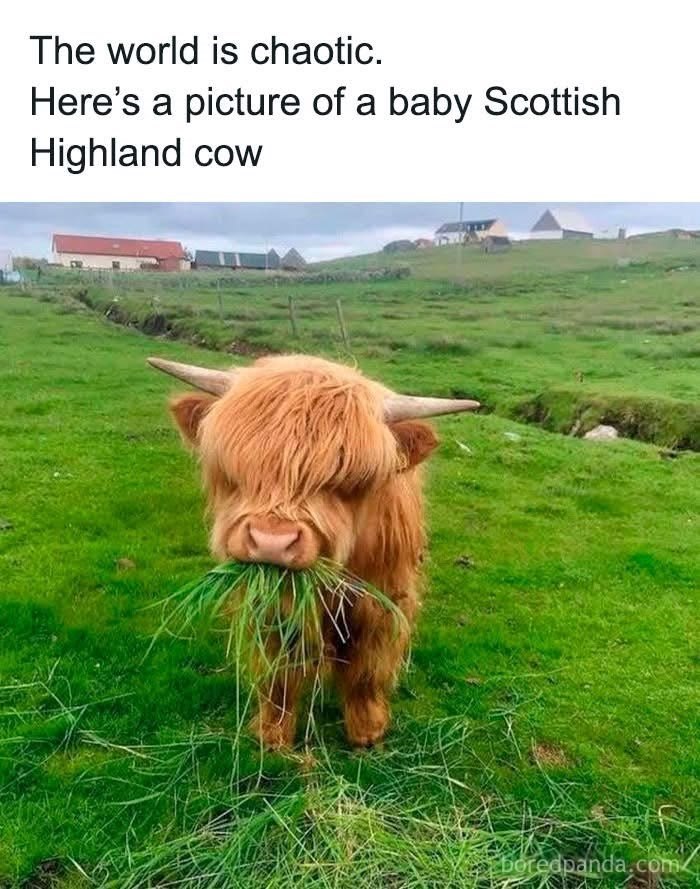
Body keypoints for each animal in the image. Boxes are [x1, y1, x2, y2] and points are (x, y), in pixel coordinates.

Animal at [148, 354, 479, 748]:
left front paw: (367, 730)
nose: (271, 542)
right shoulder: (270, 605)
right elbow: (278, 670)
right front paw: (272, 733)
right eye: (236, 470)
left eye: (350, 480)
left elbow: (368, 666)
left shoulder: (382, 598)